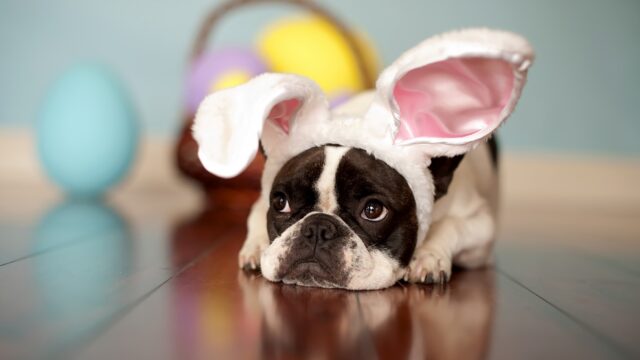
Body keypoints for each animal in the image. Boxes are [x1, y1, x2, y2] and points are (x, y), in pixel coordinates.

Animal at [192, 28, 532, 290]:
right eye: (280, 202)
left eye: (373, 210)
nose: (318, 227)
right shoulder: (261, 203)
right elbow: (254, 218)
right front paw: (258, 245)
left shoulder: (480, 225)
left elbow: (451, 227)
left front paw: (428, 256)